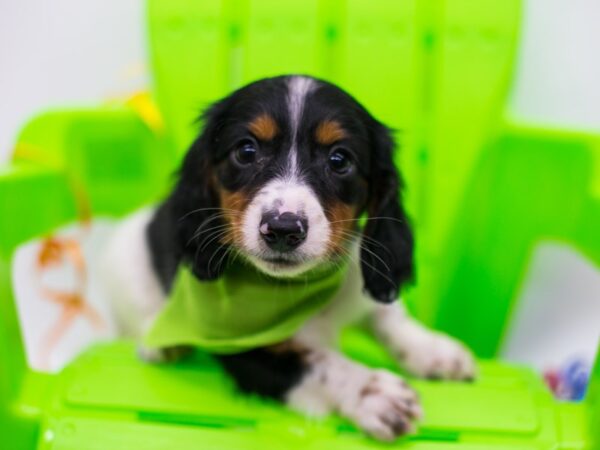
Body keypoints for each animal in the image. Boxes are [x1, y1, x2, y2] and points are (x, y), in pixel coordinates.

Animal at [104, 75, 478, 442]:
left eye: (339, 160)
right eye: (246, 150)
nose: (283, 229)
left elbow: (389, 318)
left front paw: (435, 352)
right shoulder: (244, 351)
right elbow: (319, 363)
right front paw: (373, 392)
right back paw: (161, 345)